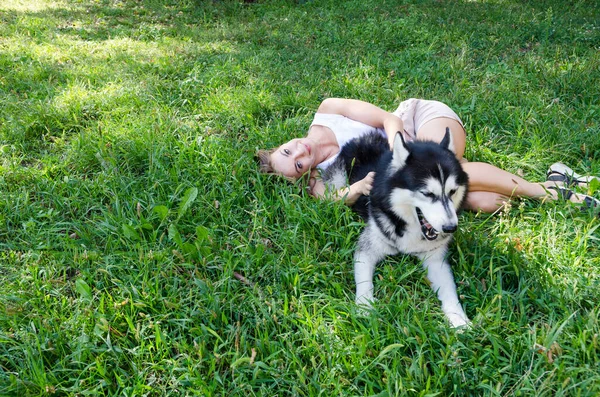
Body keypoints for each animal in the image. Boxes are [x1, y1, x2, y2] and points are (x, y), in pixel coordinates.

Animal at [322, 128, 472, 326]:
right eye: (427, 193)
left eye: (453, 191)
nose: (450, 228)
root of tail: (366, 135)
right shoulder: (367, 247)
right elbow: (364, 283)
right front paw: (365, 308)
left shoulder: (435, 260)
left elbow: (449, 290)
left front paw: (459, 320)